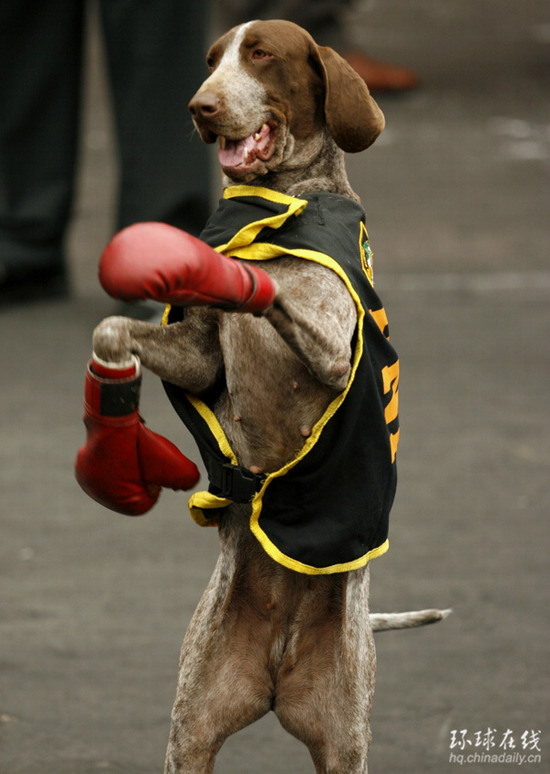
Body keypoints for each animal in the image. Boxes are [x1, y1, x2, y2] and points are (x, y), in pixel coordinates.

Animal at [87, 20, 449, 773]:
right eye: (211, 59)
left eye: (262, 55)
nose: (201, 106)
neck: (283, 196)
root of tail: (280, 662)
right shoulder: (197, 358)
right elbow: (113, 330)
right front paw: (111, 447)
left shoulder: (333, 349)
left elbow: (264, 285)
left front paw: (236, 270)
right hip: (192, 731)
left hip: (345, 743)